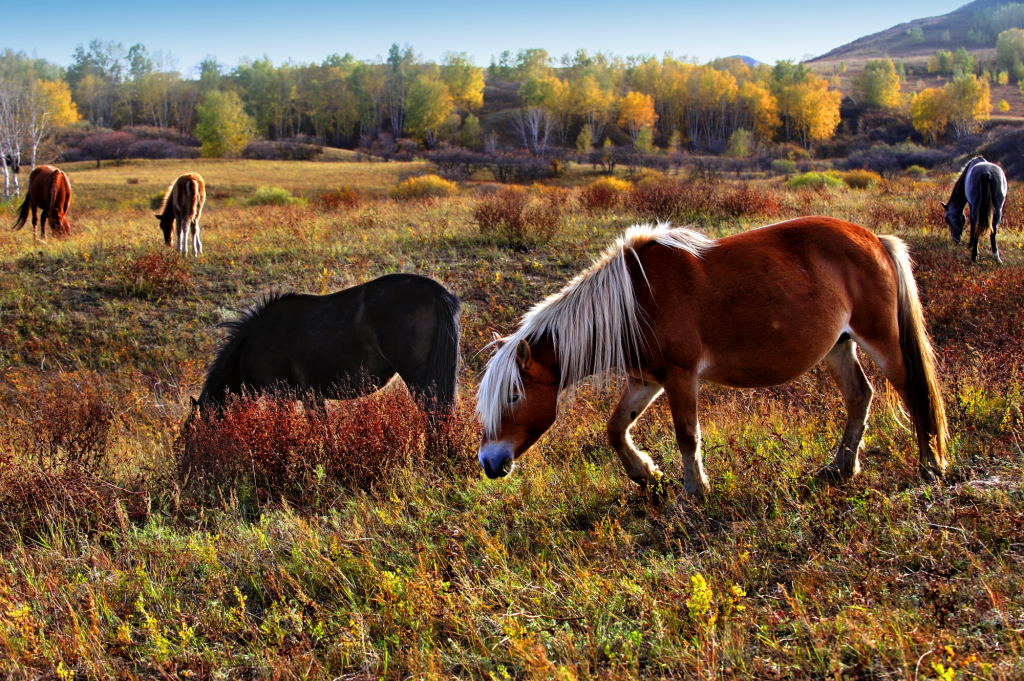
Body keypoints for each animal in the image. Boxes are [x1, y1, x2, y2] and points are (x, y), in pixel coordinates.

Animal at [475, 218, 946, 499]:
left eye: (513, 395)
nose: (489, 464)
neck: (635, 301)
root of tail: (875, 239)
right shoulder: (647, 378)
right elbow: (615, 429)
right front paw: (646, 473)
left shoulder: (681, 375)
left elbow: (687, 435)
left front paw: (693, 491)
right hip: (838, 345)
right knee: (859, 397)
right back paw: (841, 469)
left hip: (881, 339)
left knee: (913, 393)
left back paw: (930, 467)